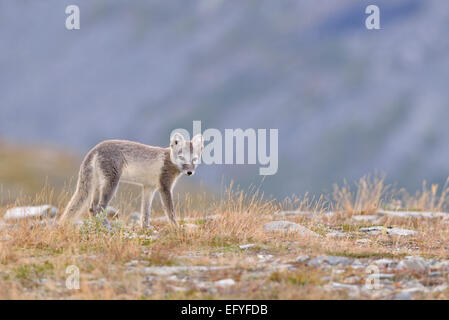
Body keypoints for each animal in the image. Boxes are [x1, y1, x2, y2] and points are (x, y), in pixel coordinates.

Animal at [61, 133, 203, 230]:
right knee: (100, 207)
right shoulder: (165, 187)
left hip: (97, 185)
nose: (189, 172)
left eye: (194, 159)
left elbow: (145, 212)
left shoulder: (149, 187)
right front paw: (176, 228)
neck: (170, 160)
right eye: (182, 158)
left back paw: (98, 227)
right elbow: (170, 212)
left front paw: (145, 229)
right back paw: (108, 228)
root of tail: (95, 149)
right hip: (111, 183)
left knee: (91, 208)